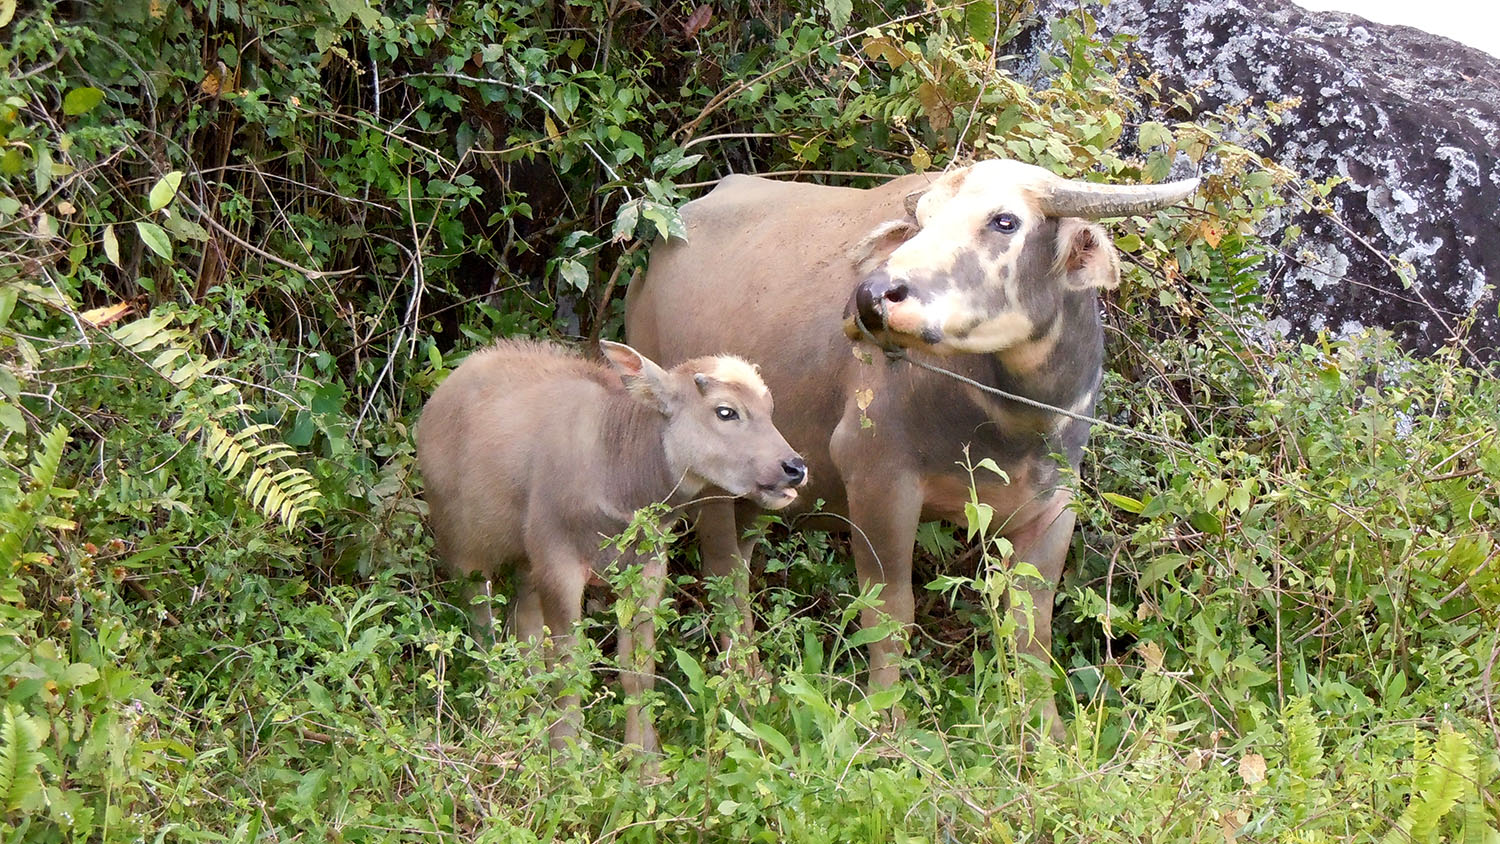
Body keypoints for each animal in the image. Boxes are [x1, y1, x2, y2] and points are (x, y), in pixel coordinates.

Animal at [416, 338, 807, 752]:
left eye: (769, 408)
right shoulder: (560, 566)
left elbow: (638, 669)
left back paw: (532, 717)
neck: (615, 467)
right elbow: (569, 667)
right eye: (725, 411)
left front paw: (644, 758)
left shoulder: (647, 569)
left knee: (525, 631)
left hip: (525, 563)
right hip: (466, 557)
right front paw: (567, 753)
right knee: (484, 633)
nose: (794, 468)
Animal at [625, 159, 1198, 737]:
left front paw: (1049, 735)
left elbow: (1031, 628)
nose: (872, 296)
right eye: (921, 221)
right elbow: (891, 613)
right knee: (718, 573)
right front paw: (887, 726)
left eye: (1005, 221)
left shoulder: (1055, 504)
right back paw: (743, 686)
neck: (1012, 424)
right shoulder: (880, 482)